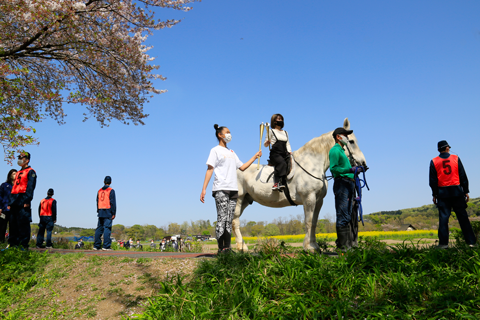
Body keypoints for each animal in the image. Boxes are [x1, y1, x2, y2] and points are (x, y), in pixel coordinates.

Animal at [232, 119, 368, 251]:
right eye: (351, 141)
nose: (364, 165)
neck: (311, 164)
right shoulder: (309, 198)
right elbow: (308, 222)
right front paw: (308, 247)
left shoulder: (318, 200)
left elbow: (314, 222)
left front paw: (314, 245)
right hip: (238, 199)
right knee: (235, 221)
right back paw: (242, 248)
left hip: (245, 200)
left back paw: (242, 246)